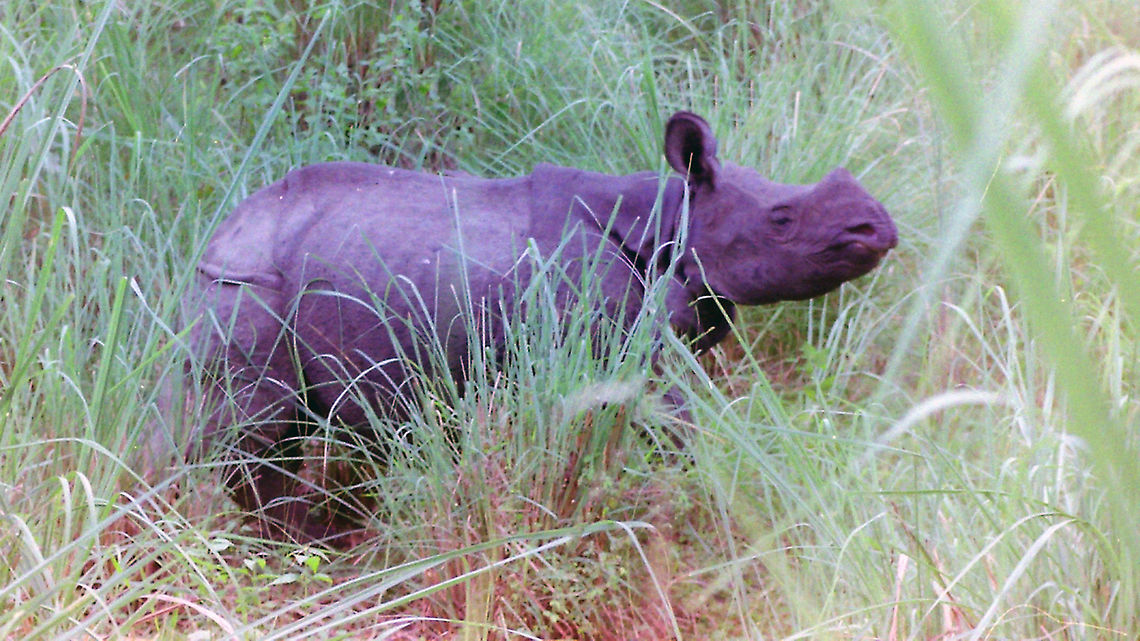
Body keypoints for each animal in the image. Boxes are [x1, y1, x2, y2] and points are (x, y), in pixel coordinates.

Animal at [185, 111, 897, 541]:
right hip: (243, 286)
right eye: (782, 220)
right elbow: (674, 439)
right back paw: (294, 550)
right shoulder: (612, 345)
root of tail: (223, 231)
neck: (670, 218)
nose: (879, 226)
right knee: (256, 427)